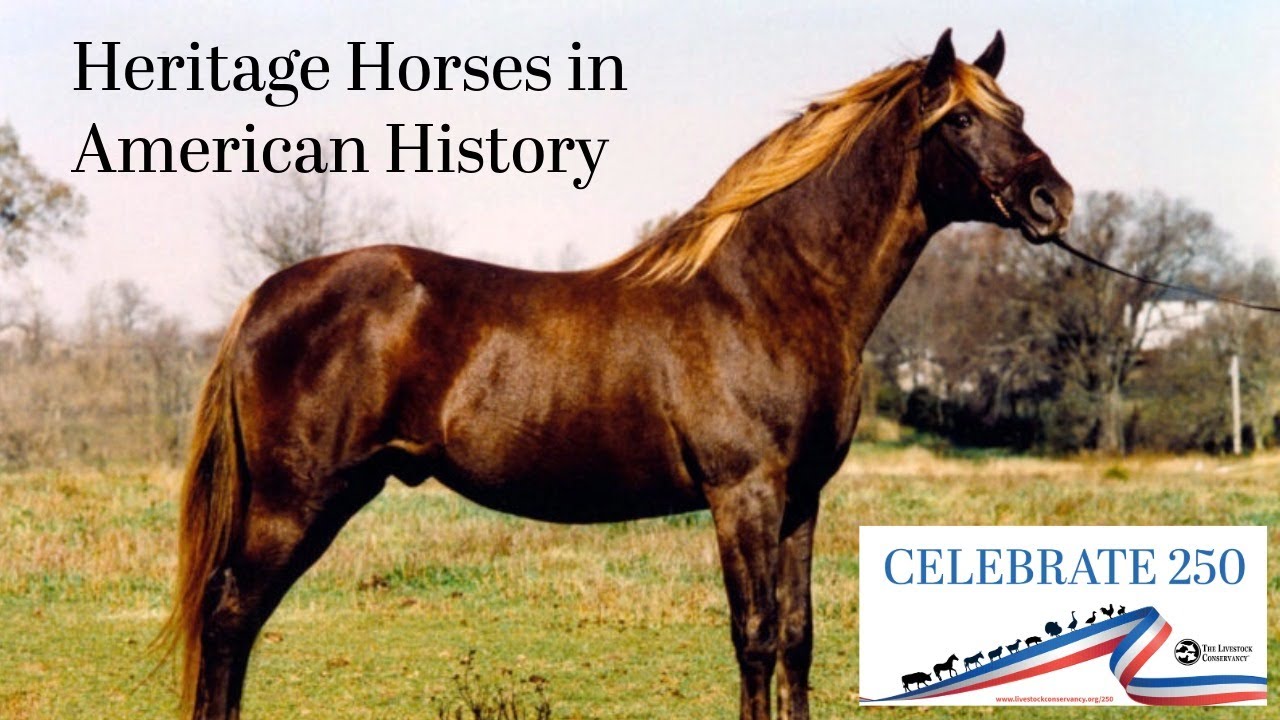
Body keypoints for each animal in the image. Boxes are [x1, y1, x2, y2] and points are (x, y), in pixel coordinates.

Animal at [157, 29, 1072, 720]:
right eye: (960, 121)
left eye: (1019, 112)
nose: (1051, 200)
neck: (767, 292)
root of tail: (269, 293)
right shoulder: (743, 494)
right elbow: (754, 635)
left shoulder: (801, 498)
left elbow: (798, 637)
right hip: (296, 501)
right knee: (231, 616)